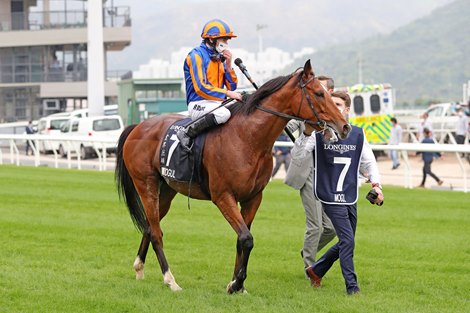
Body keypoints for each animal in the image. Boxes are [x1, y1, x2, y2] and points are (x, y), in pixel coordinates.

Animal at [114, 59, 352, 292]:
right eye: (319, 93)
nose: (345, 126)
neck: (248, 139)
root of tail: (137, 126)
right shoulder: (223, 196)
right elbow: (246, 238)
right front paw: (237, 283)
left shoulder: (253, 197)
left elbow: (242, 239)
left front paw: (237, 284)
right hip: (146, 184)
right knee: (156, 232)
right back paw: (170, 280)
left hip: (167, 189)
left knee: (149, 226)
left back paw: (139, 267)